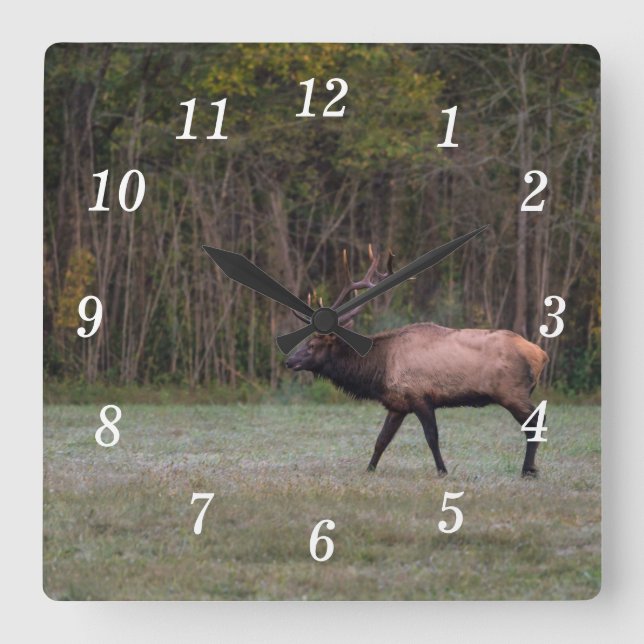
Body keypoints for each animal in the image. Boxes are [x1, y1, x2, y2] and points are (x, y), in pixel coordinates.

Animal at [285, 246, 549, 477]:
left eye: (312, 345)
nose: (289, 360)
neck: (379, 370)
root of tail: (541, 355)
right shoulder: (397, 404)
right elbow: (381, 440)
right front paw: (369, 469)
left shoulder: (420, 396)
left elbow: (432, 437)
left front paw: (443, 471)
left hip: (511, 392)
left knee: (537, 421)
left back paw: (528, 470)